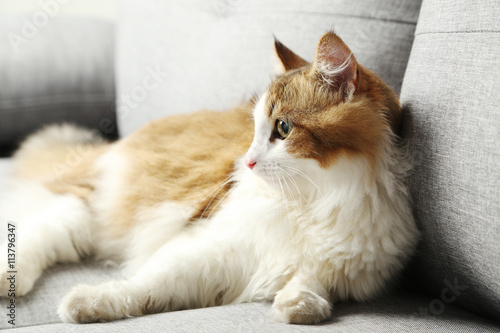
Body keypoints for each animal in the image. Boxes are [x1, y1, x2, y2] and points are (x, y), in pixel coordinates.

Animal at [0, 31, 418, 322]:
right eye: (254, 130)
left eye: (282, 128)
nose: (246, 162)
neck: (317, 201)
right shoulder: (212, 246)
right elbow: (143, 285)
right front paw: (88, 301)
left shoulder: (349, 270)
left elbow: (312, 281)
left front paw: (298, 304)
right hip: (90, 204)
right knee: (42, 230)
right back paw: (8, 279)